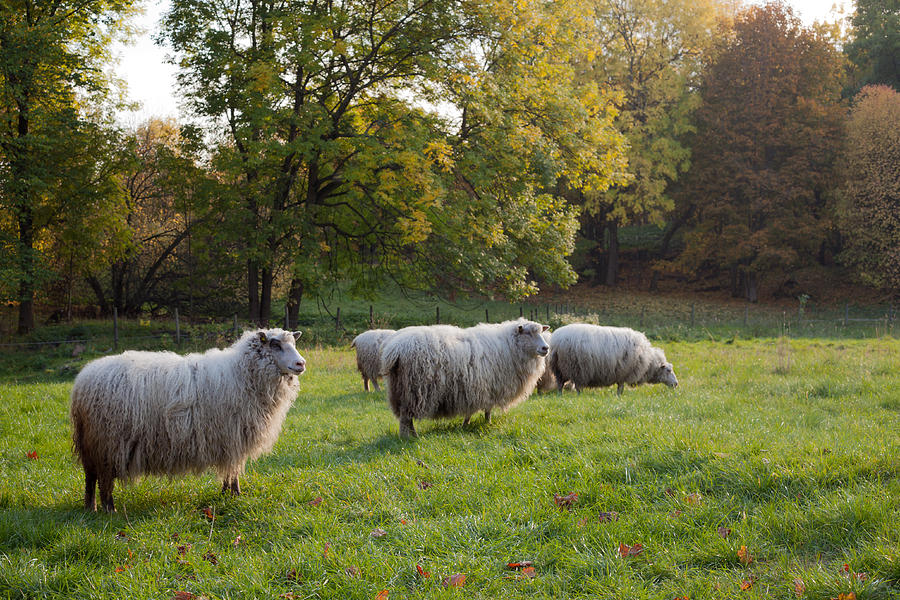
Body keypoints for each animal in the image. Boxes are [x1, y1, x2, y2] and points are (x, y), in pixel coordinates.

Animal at [67, 328, 306, 510]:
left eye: (294, 342)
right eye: (275, 345)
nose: (301, 364)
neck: (243, 373)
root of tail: (81, 383)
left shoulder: (230, 438)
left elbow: (231, 470)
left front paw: (227, 494)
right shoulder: (232, 436)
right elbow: (233, 469)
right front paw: (235, 495)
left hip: (92, 444)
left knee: (90, 477)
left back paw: (90, 508)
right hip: (109, 442)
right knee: (104, 479)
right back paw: (109, 509)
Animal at [380, 316, 548, 438]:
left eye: (541, 332)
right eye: (528, 333)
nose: (545, 348)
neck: (509, 346)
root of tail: (395, 349)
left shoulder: (476, 389)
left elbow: (476, 410)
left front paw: (467, 424)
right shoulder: (485, 387)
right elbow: (485, 409)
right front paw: (485, 423)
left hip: (398, 388)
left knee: (405, 417)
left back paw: (412, 435)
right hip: (414, 389)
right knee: (405, 417)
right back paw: (408, 438)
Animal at [544, 326, 680, 396]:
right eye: (668, 370)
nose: (676, 384)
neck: (649, 361)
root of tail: (556, 340)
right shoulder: (624, 373)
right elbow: (620, 387)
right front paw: (619, 396)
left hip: (559, 368)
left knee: (560, 384)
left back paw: (560, 395)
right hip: (577, 367)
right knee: (577, 386)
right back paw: (579, 396)